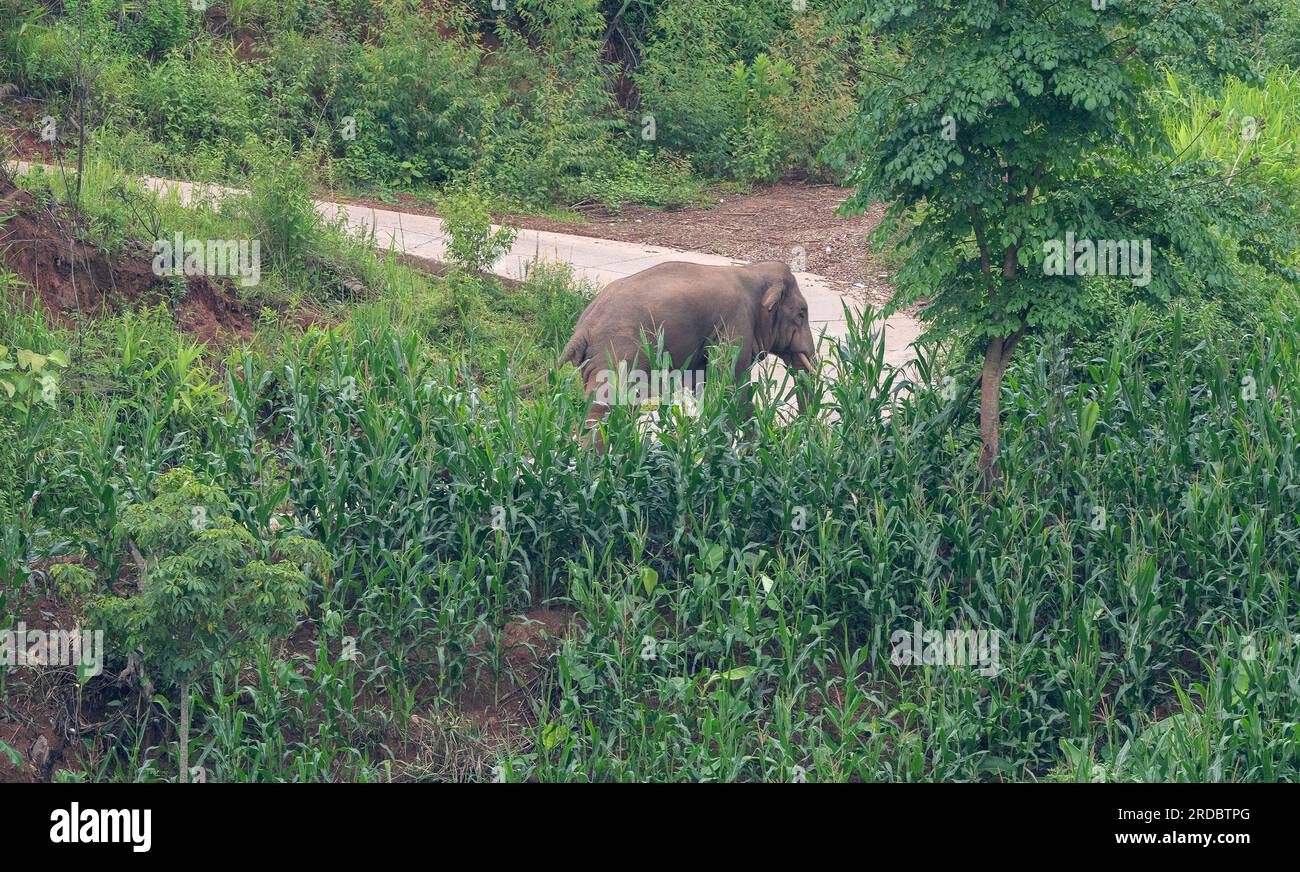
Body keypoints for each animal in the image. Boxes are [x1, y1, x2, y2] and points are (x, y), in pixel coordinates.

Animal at [556, 260, 818, 434]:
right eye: (801, 314)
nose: (796, 429)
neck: (752, 271)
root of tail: (582, 329)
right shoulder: (734, 325)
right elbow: (732, 388)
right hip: (618, 354)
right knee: (605, 408)